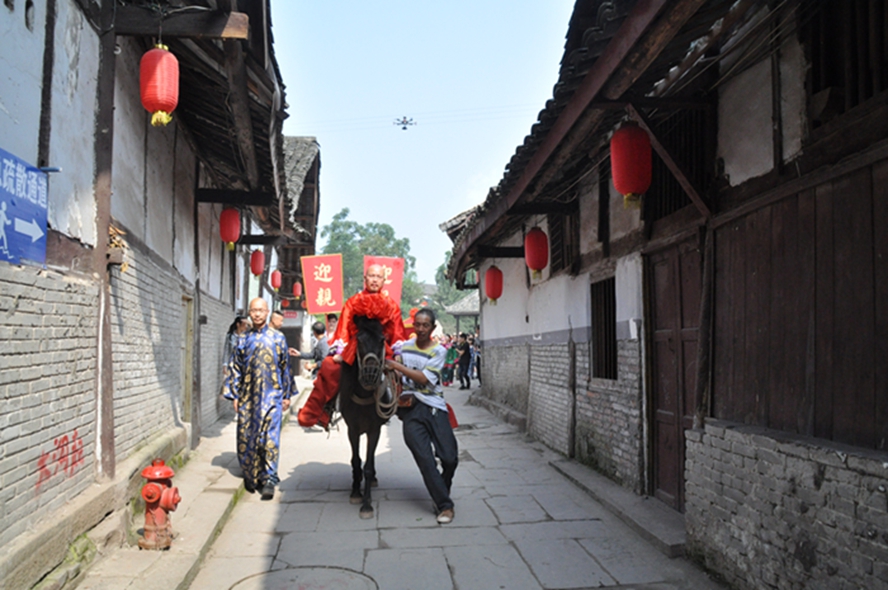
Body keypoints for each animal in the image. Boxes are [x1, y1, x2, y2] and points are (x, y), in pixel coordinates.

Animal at [337, 315, 398, 518]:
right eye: (359, 340)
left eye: (382, 340)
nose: (370, 375)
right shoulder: (353, 430)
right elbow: (356, 461)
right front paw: (356, 493)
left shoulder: (374, 430)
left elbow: (369, 466)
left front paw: (366, 504)